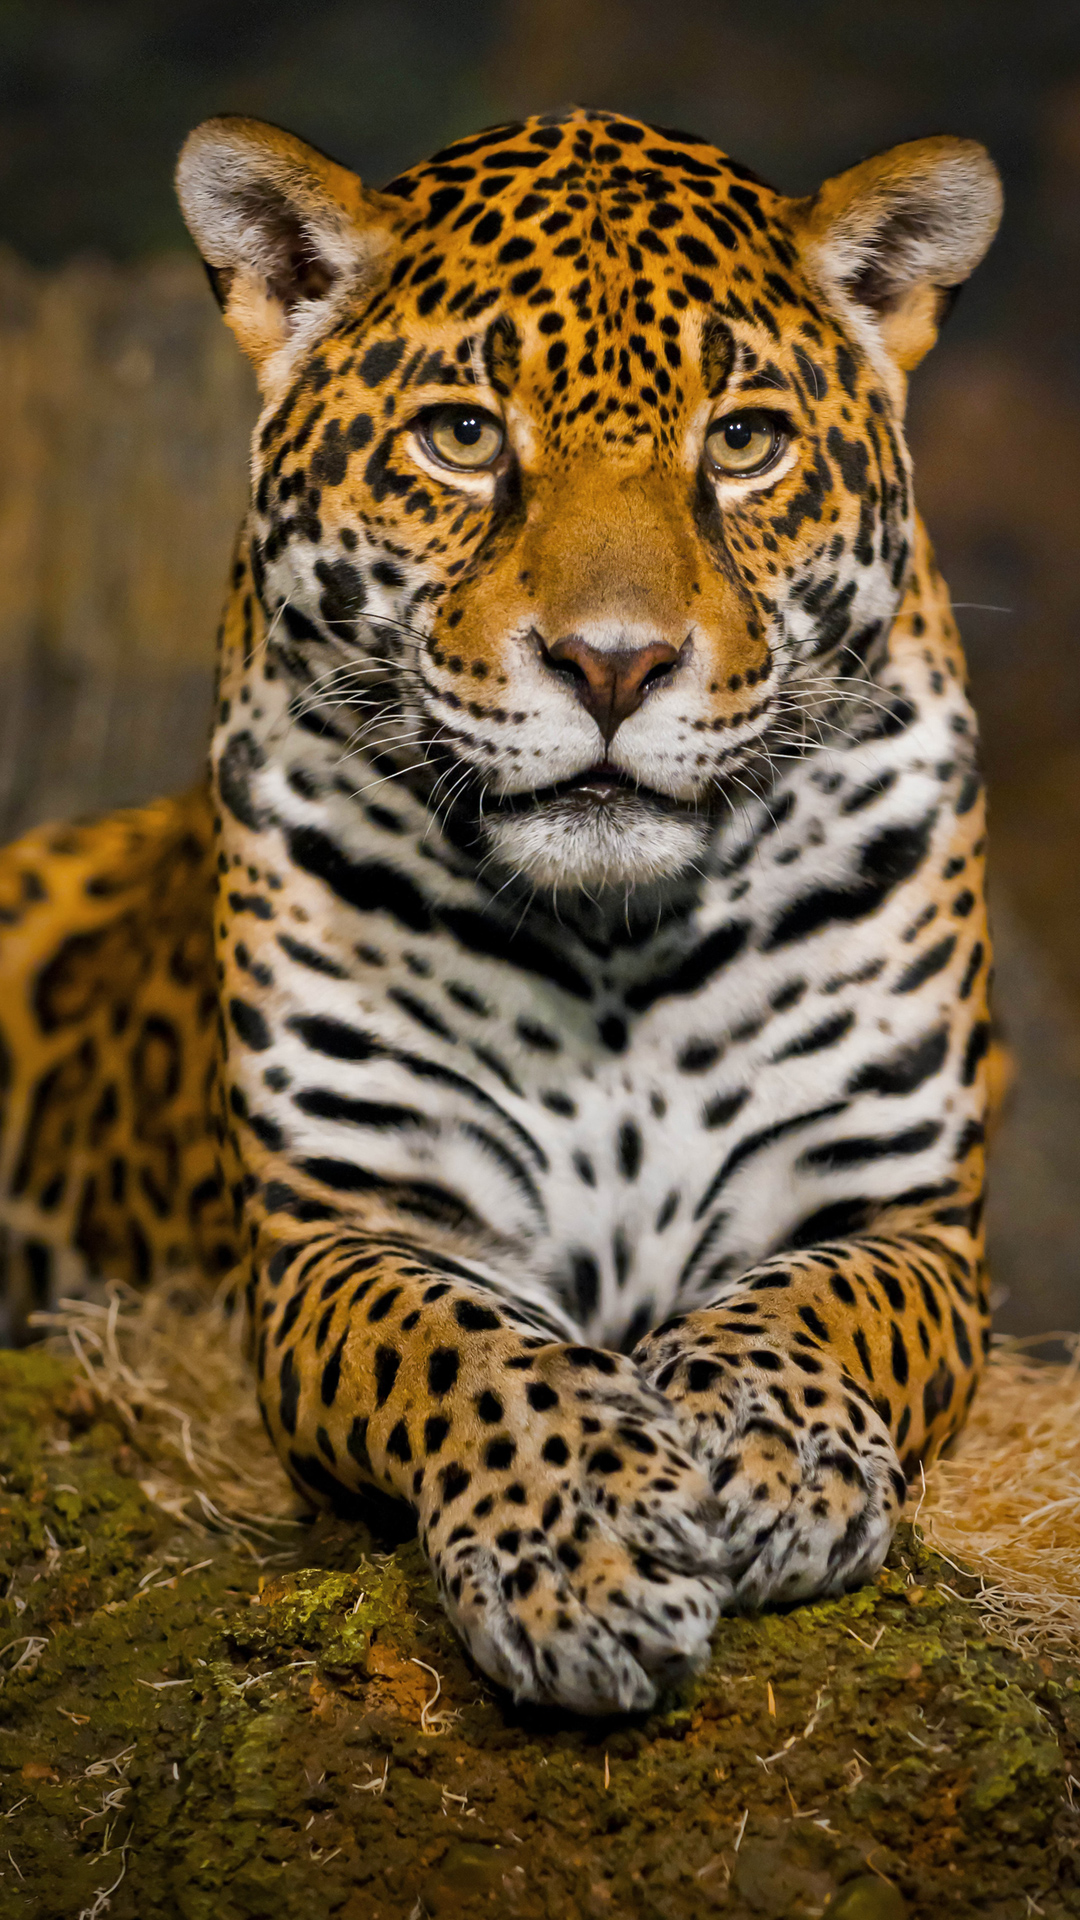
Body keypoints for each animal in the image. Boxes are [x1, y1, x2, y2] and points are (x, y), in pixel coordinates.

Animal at [0, 106, 1003, 1716]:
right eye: (463, 438)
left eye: (744, 442)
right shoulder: (343, 1227)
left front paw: (771, 1452)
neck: (617, 943)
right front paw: (587, 1541)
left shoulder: (905, 1215)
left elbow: (818, 1300)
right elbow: (469, 1348)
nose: (612, 664)